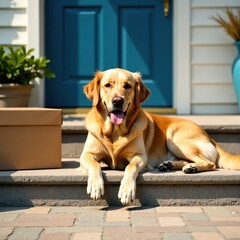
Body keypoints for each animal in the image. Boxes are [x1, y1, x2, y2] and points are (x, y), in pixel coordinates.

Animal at [79, 67, 240, 204]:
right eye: (107, 85)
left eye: (127, 86)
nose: (118, 101)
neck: (115, 132)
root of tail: (207, 134)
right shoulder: (86, 154)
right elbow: (94, 164)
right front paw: (95, 185)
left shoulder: (140, 156)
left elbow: (130, 167)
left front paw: (126, 190)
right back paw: (172, 165)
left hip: (175, 139)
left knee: (210, 163)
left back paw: (191, 167)